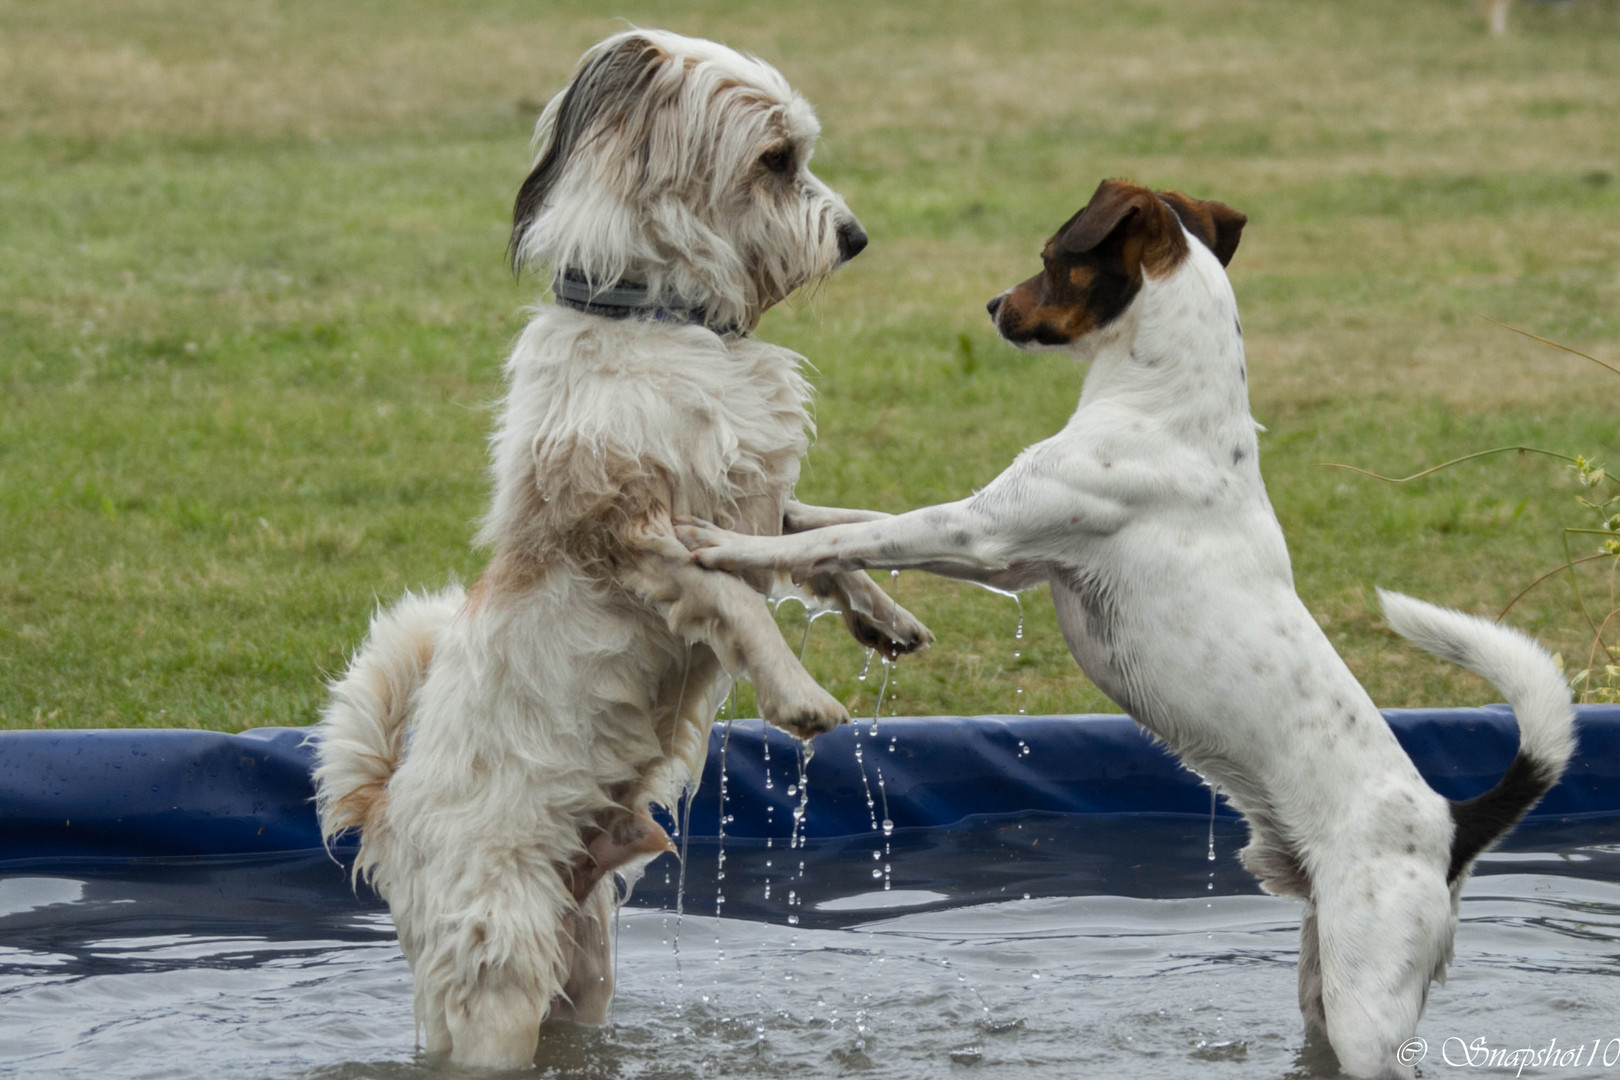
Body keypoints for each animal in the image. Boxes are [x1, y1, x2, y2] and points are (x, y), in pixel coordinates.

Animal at [309, 31, 933, 1075]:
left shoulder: (753, 505)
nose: (855, 237)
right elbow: (741, 606)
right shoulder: (638, 535)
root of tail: (388, 813)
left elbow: (826, 535)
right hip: (503, 966)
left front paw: (884, 614)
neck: (659, 319)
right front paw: (799, 695)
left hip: (586, 955)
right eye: (776, 161)